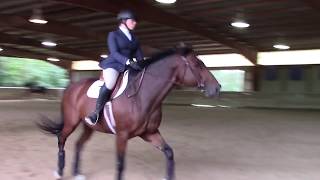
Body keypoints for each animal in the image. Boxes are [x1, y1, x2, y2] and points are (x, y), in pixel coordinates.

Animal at [38, 46, 220, 180]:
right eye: (198, 65)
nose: (217, 88)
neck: (142, 96)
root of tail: (72, 87)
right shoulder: (122, 135)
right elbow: (120, 164)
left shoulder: (149, 133)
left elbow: (169, 153)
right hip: (71, 122)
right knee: (61, 139)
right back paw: (59, 172)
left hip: (89, 126)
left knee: (78, 144)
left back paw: (77, 173)